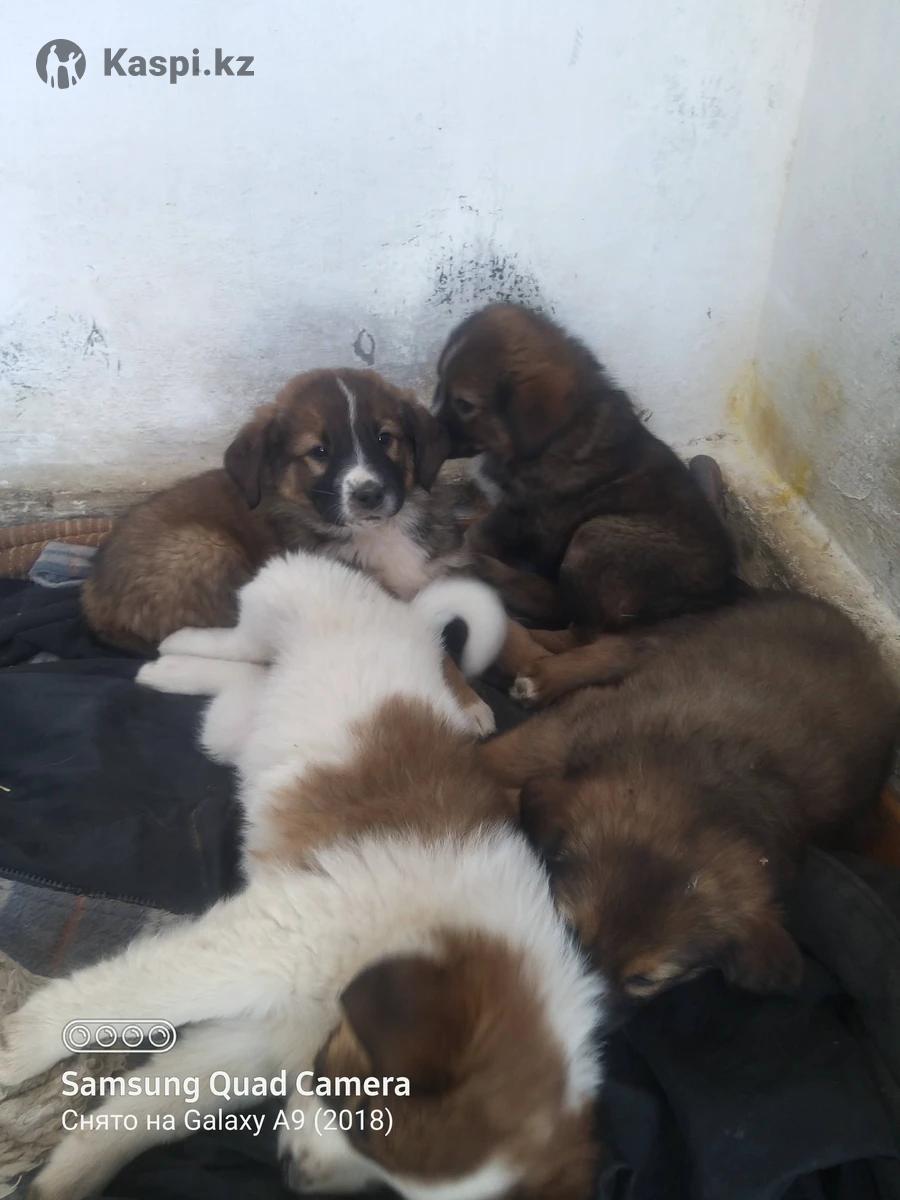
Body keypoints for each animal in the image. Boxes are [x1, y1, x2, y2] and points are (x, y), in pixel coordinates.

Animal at [1, 556, 603, 1200]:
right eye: (363, 1113)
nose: (291, 1171)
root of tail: (407, 617)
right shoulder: (266, 940)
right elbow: (124, 997)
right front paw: (24, 1046)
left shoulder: (265, 1035)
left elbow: (156, 1102)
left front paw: (69, 1174)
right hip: (289, 593)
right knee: (242, 637)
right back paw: (175, 647)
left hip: (237, 726)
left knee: (245, 682)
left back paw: (170, 672)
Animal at [83, 368, 479, 655]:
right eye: (319, 452)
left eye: (385, 438)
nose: (368, 495)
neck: (378, 531)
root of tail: (92, 595)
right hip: (205, 548)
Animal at [431, 304, 738, 706]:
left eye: (464, 404)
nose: (425, 428)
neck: (555, 432)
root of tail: (720, 591)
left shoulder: (524, 514)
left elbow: (478, 534)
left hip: (596, 536)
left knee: (584, 630)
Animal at [480, 591, 900, 1022]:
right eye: (569, 933)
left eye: (644, 980)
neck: (699, 788)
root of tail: (860, 637)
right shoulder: (571, 727)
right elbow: (496, 761)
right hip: (682, 635)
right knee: (615, 646)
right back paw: (541, 671)